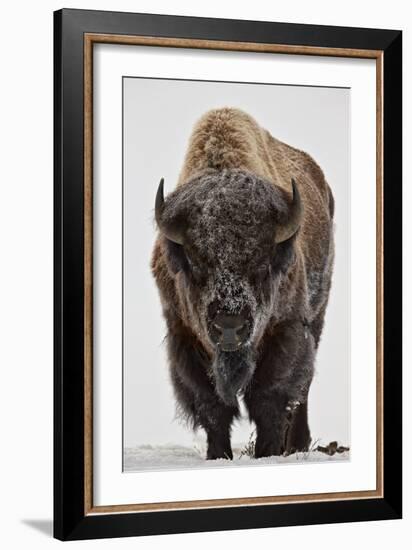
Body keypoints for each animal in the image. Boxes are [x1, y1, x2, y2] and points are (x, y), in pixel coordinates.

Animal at [151, 108, 334, 462]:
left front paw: (267, 453)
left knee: (302, 390)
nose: (229, 326)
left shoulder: (286, 329)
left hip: (317, 316)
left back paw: (297, 445)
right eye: (195, 262)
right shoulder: (184, 335)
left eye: (262, 264)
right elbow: (211, 405)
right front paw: (218, 456)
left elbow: (271, 397)